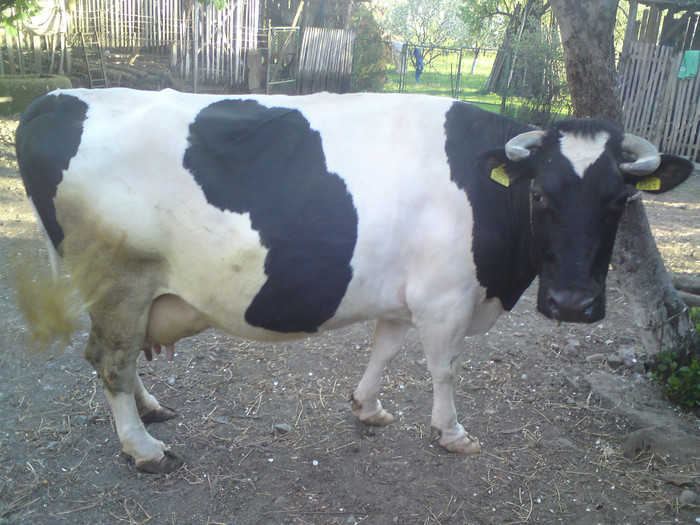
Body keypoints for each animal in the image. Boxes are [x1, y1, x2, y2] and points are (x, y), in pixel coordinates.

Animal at [15, 88, 692, 474]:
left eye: (620, 200)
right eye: (541, 194)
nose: (574, 303)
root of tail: (58, 96)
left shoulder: (404, 291)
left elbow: (385, 349)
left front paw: (368, 408)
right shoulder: (445, 297)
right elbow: (443, 369)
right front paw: (452, 433)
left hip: (125, 290)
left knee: (116, 357)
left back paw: (151, 409)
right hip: (118, 277)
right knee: (109, 359)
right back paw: (143, 450)